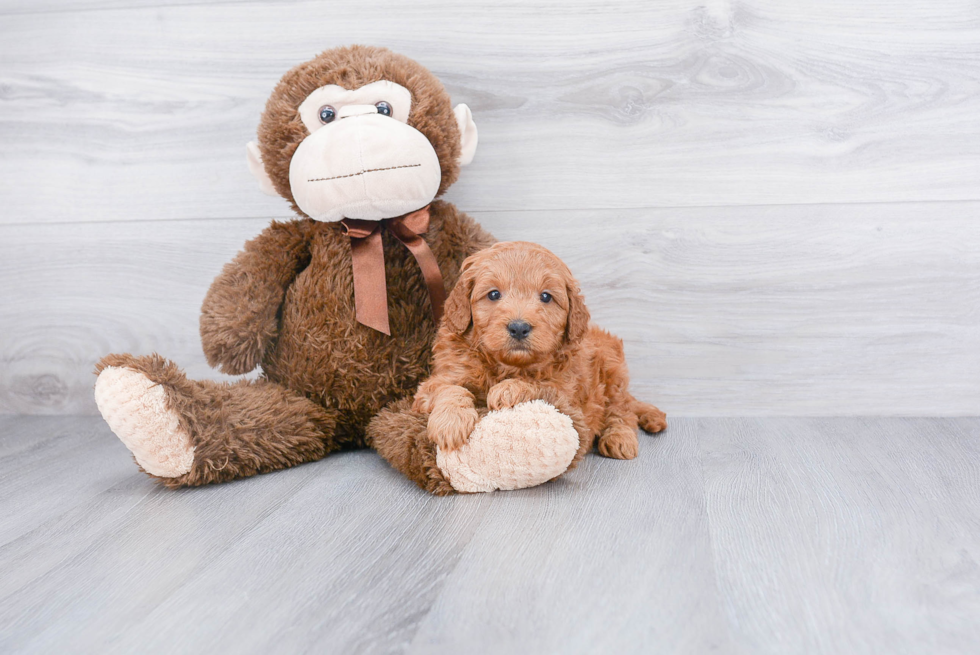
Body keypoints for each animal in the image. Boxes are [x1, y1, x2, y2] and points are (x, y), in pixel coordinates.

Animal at [414, 240, 668, 462]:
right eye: (494, 294)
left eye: (546, 296)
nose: (519, 327)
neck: (506, 365)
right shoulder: (440, 378)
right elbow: (450, 388)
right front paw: (451, 422)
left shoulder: (568, 397)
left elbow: (540, 385)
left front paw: (509, 389)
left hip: (612, 368)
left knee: (622, 410)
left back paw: (620, 437)